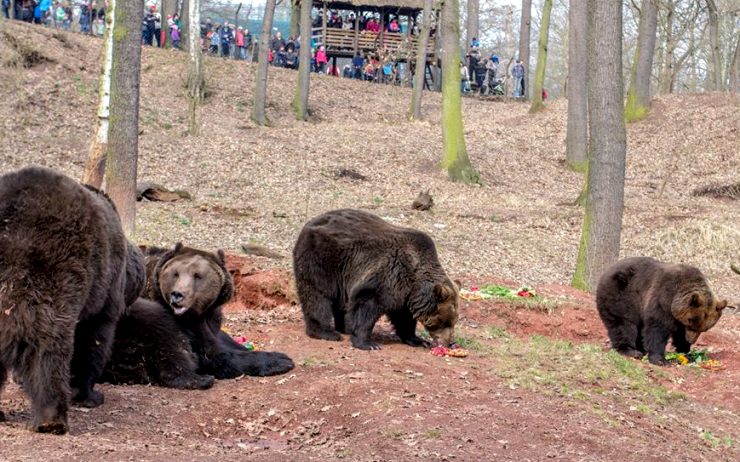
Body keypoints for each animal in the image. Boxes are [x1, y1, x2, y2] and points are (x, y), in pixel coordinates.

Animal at [0, 166, 146, 434]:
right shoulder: (102, 293)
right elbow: (94, 341)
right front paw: (89, 393)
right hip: (48, 273)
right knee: (48, 350)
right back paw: (52, 418)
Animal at [100, 244, 294, 388]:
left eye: (198, 276)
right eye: (175, 273)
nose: (177, 295)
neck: (196, 316)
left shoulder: (210, 320)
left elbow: (221, 338)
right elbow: (212, 355)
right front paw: (280, 359)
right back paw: (199, 379)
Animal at [294, 208, 456, 350]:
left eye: (453, 321)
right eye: (445, 321)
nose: (448, 342)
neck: (415, 281)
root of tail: (308, 224)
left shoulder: (404, 293)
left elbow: (403, 317)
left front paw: (419, 340)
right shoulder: (389, 276)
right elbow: (367, 305)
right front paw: (368, 343)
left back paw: (344, 327)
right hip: (324, 260)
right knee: (317, 296)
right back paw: (326, 332)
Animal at [596, 256, 728, 364]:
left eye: (704, 329)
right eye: (692, 323)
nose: (690, 340)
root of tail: (607, 270)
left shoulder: (678, 317)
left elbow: (678, 333)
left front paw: (685, 351)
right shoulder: (663, 299)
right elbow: (657, 328)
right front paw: (660, 359)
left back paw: (641, 349)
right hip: (621, 296)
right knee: (623, 324)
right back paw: (630, 350)